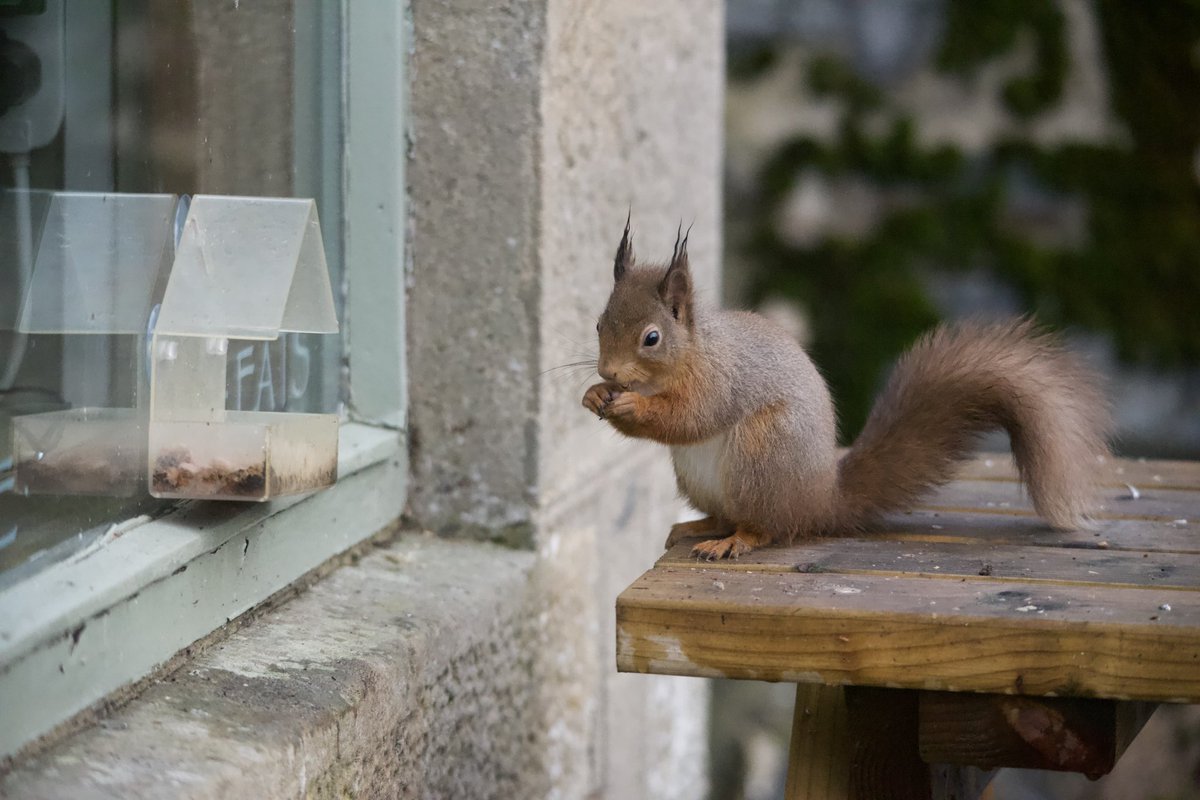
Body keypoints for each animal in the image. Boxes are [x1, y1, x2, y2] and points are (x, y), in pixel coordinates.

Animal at [582, 217, 1112, 560]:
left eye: (652, 338)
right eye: (599, 323)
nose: (610, 372)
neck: (692, 351)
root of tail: (820, 499)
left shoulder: (721, 380)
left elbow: (689, 417)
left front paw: (630, 406)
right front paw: (593, 395)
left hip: (763, 454)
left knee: (767, 528)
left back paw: (733, 541)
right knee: (727, 514)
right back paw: (700, 526)